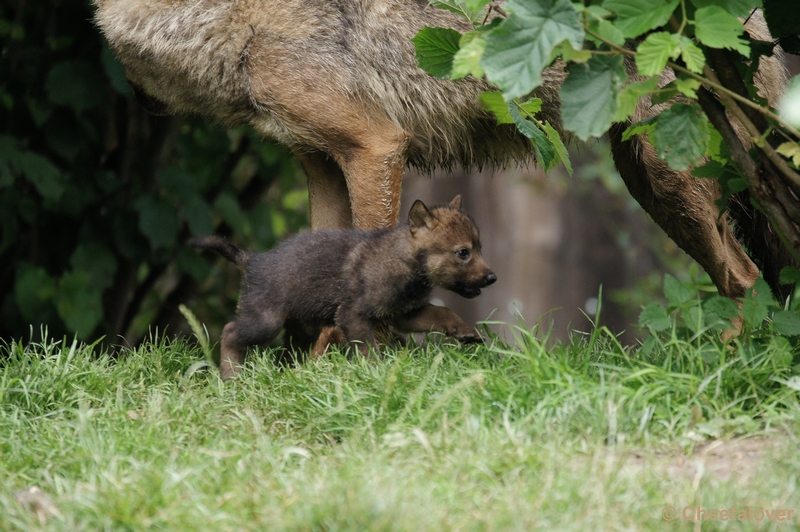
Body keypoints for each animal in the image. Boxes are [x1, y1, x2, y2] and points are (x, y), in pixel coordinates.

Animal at [94, 0, 788, 310]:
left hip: (671, 178)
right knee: (744, 278)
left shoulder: (375, 145)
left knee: (745, 278)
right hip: (650, 181)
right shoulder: (320, 164)